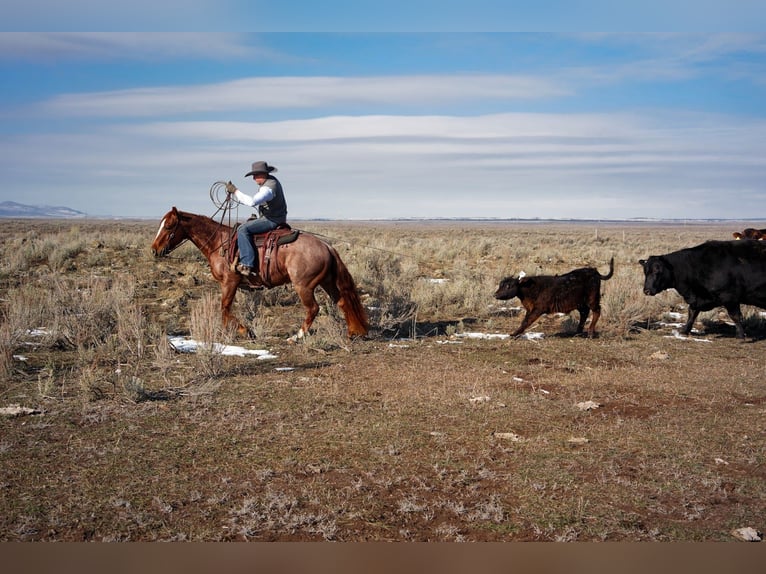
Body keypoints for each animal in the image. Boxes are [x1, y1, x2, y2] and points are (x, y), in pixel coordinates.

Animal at [150, 207, 369, 340]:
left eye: (168, 226)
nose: (154, 250)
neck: (219, 243)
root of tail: (326, 246)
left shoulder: (230, 282)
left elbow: (224, 308)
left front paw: (242, 330)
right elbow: (225, 309)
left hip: (304, 286)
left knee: (313, 308)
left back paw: (296, 336)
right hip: (327, 282)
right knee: (343, 302)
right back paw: (353, 332)